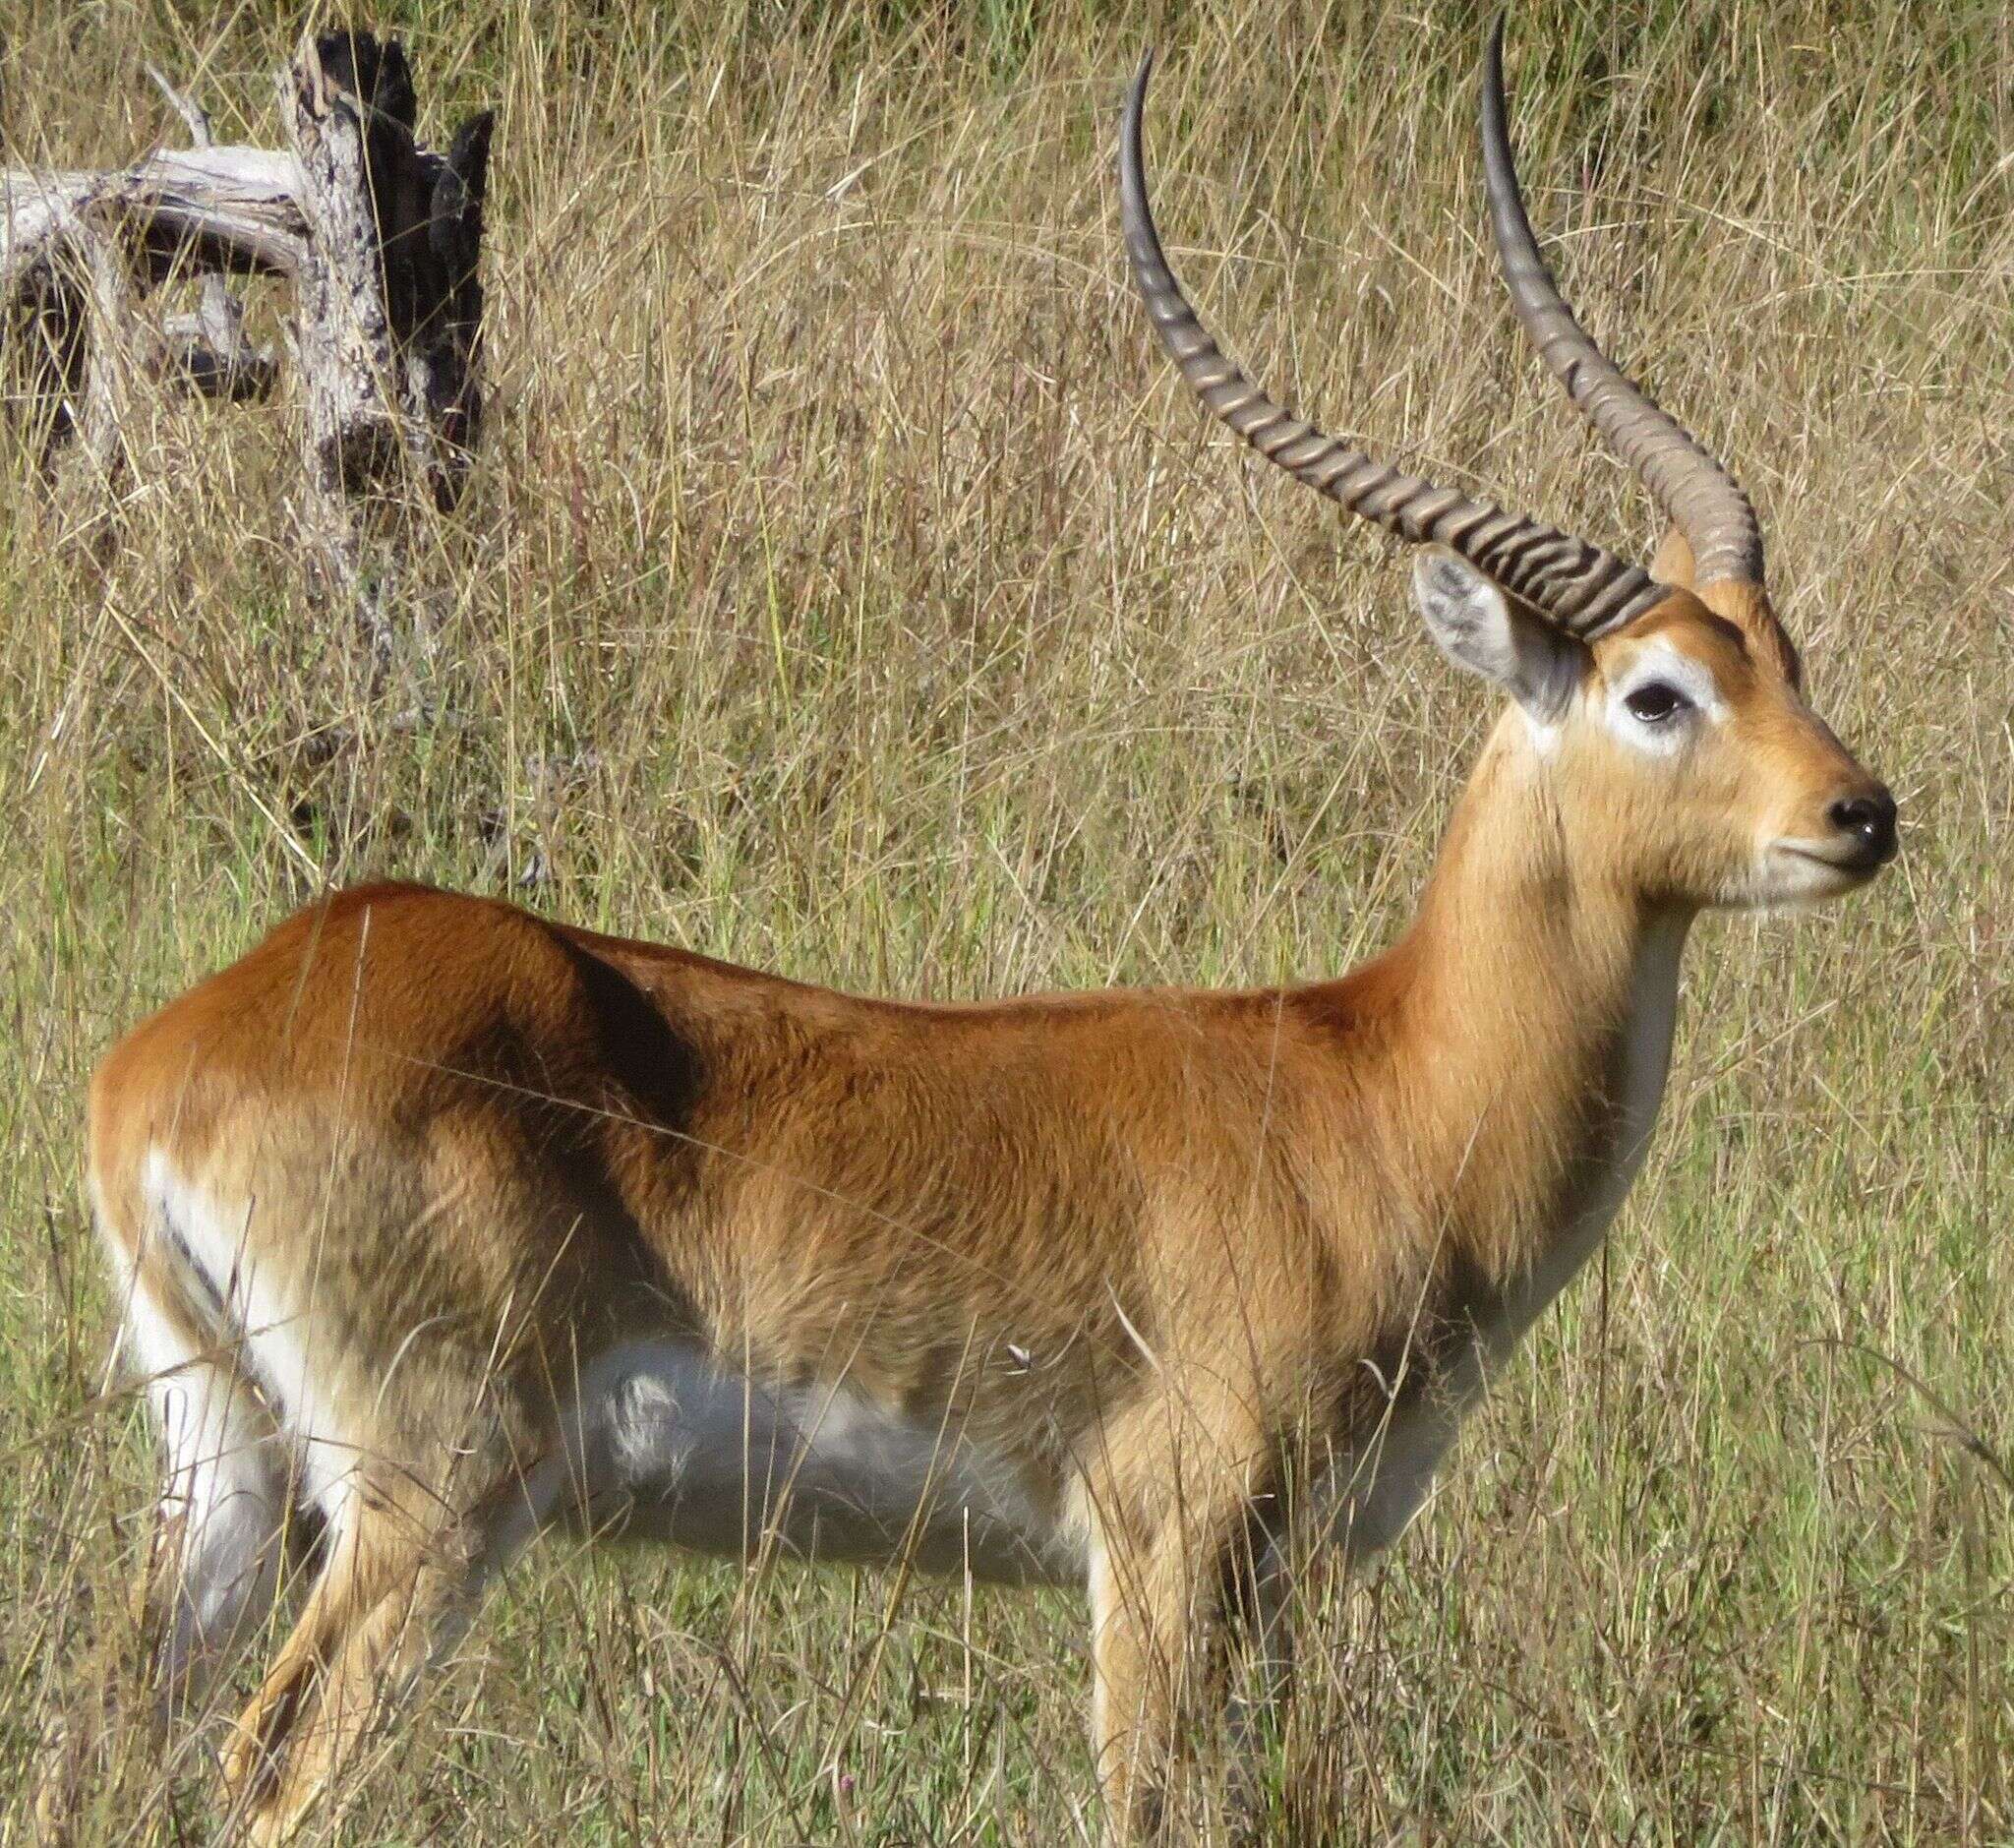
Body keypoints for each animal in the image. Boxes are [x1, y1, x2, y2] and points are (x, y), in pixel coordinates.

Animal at [78, 18, 1893, 1845]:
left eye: (1782, 653)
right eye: (1654, 691)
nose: (1859, 812)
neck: (1372, 1095)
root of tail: (173, 1052)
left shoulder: (1294, 1580)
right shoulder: (1166, 1550)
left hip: (227, 1471)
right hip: (429, 1497)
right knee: (273, 1760)